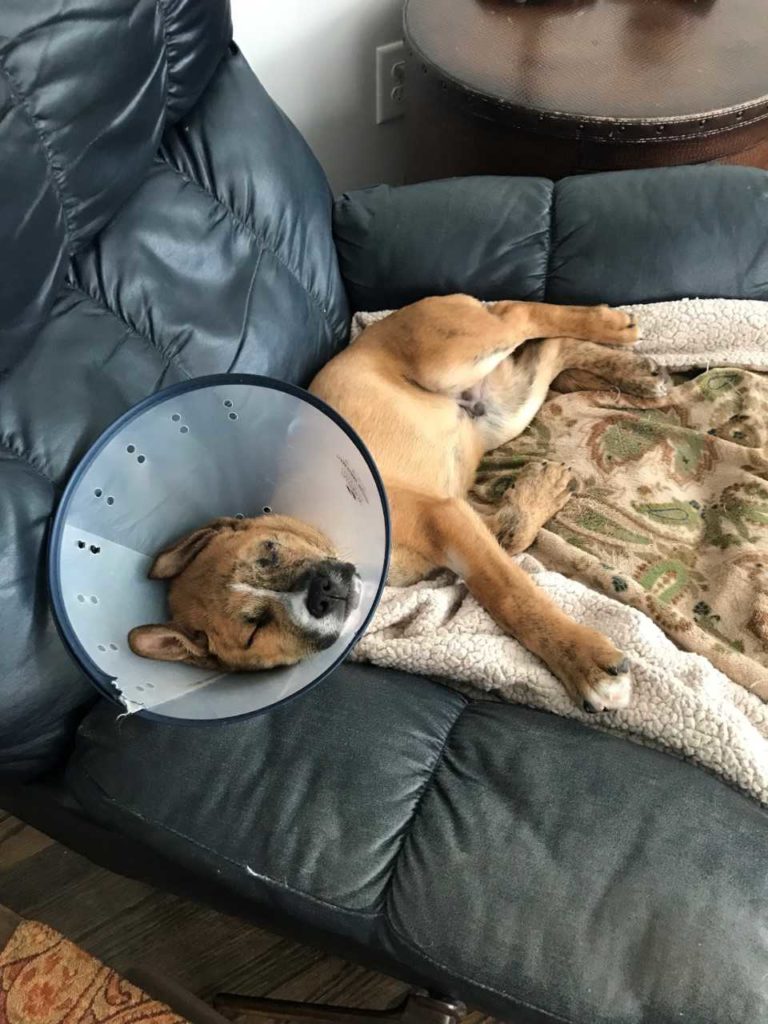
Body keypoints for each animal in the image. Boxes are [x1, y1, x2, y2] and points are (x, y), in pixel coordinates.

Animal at [128, 296, 667, 712]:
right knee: (548, 351)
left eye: (270, 549)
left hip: (452, 355)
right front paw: (545, 488)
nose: (323, 591)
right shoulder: (462, 517)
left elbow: (510, 595)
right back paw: (636, 372)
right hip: (504, 409)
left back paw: (613, 328)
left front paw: (584, 664)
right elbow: (511, 535)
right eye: (253, 633)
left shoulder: (443, 517)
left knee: (522, 315)